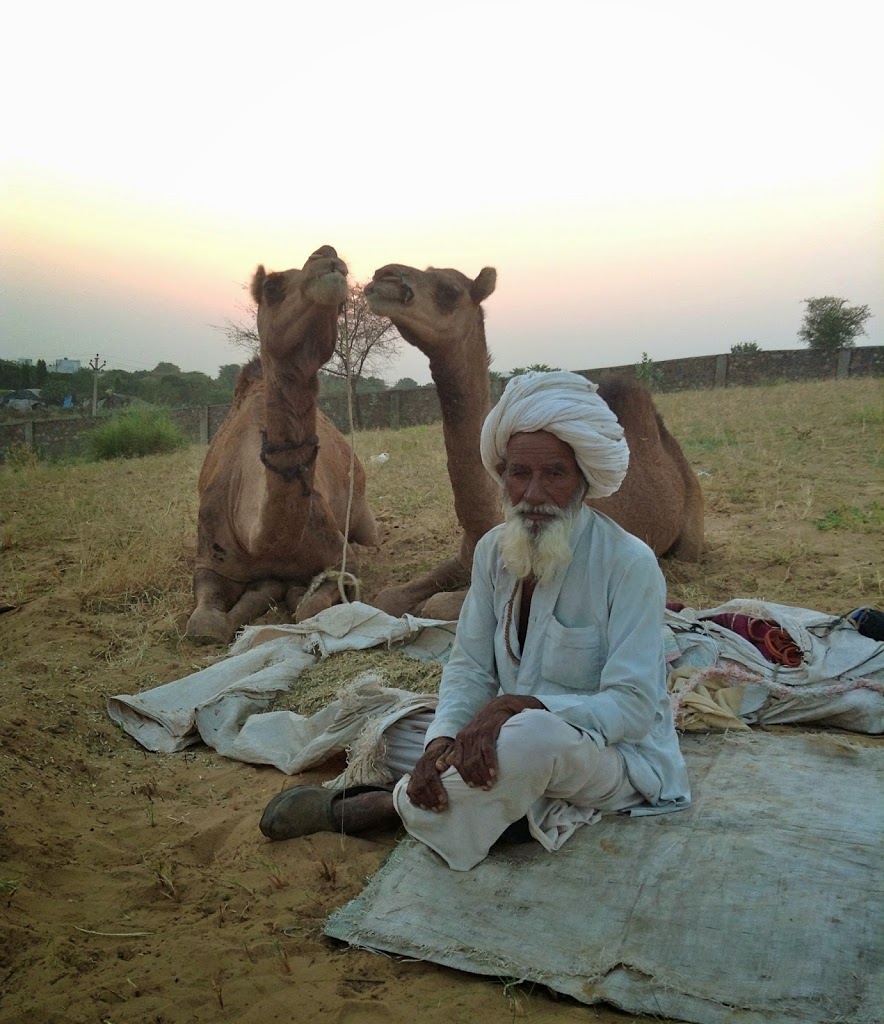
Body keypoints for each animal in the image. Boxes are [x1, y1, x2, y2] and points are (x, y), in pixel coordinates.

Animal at [185, 246, 379, 638]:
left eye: (341, 308)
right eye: (272, 287)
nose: (327, 254)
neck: (261, 541)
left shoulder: (340, 558)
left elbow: (309, 609)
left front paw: (285, 592)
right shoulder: (208, 560)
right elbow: (206, 626)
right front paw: (262, 593)